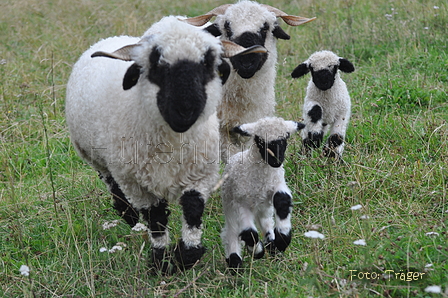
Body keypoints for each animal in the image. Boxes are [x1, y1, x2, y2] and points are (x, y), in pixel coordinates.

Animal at [65, 15, 264, 272]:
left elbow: (192, 209)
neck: (173, 142)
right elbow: (156, 218)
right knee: (110, 181)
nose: (185, 110)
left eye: (208, 64)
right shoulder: (136, 183)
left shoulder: (200, 173)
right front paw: (160, 260)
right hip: (96, 157)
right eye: (156, 65)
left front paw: (186, 255)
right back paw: (127, 214)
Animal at [220, 116, 304, 270]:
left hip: (263, 207)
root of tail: (235, 156)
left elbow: (282, 200)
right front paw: (257, 251)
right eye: (260, 141)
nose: (276, 161)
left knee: (266, 222)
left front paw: (282, 239)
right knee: (232, 231)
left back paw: (272, 244)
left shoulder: (277, 184)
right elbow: (250, 233)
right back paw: (235, 261)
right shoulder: (241, 202)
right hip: (230, 203)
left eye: (285, 139)